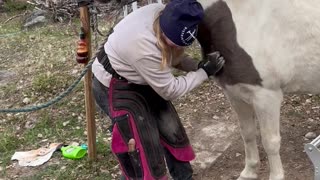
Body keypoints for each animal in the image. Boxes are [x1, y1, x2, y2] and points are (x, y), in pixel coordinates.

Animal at [198, 0, 320, 180]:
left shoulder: (266, 97)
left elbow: (270, 142)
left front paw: (276, 176)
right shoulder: (234, 94)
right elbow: (247, 134)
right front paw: (249, 172)